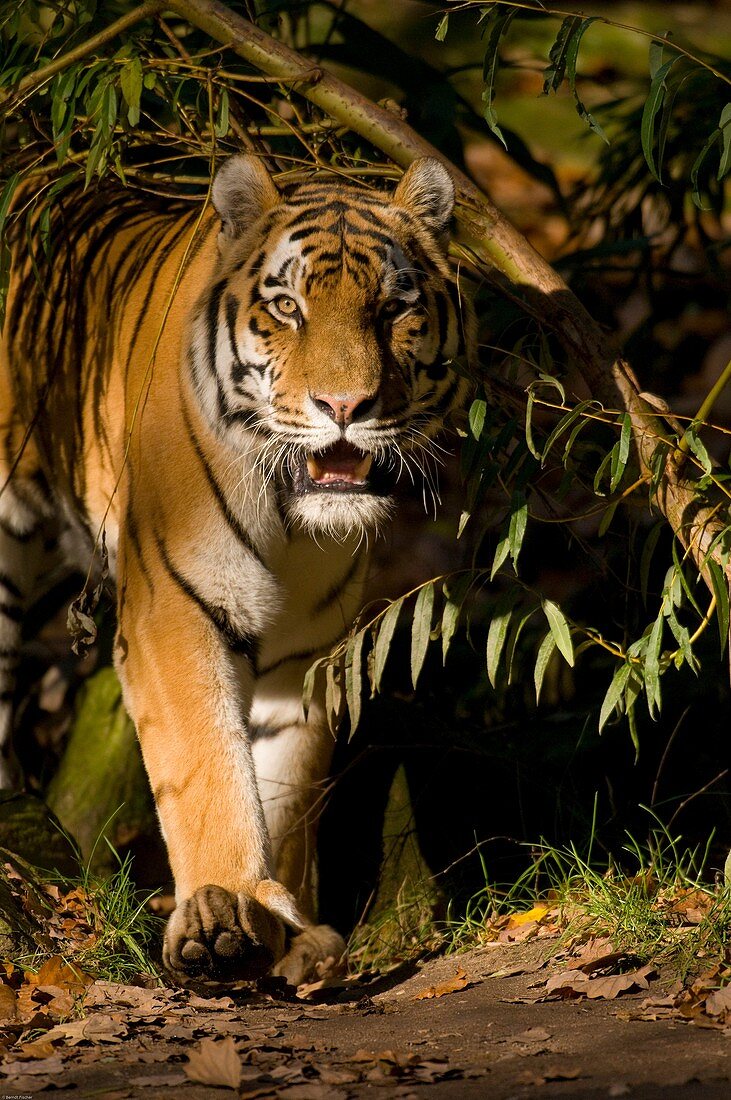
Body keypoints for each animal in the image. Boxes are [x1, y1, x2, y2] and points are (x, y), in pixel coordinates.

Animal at [0, 152, 472, 981]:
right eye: (287, 307)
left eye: (392, 308)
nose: (343, 405)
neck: (292, 519)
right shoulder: (172, 614)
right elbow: (209, 766)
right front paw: (222, 908)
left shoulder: (305, 653)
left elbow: (282, 784)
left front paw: (286, 928)